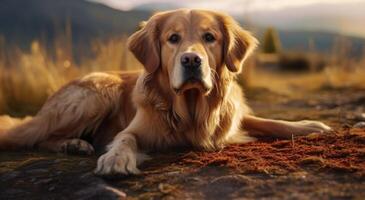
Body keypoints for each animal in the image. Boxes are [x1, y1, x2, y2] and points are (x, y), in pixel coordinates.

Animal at [0, 9, 330, 175]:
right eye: (173, 38)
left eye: (209, 37)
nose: (191, 60)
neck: (191, 109)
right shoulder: (136, 127)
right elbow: (125, 138)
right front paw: (116, 159)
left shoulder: (230, 118)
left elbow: (267, 121)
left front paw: (309, 126)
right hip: (98, 91)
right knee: (38, 135)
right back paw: (74, 143)